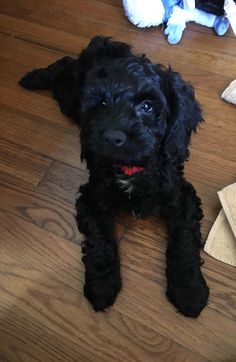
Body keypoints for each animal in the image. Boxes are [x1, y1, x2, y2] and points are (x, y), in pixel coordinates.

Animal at [19, 36, 208, 316]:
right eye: (102, 104)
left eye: (147, 106)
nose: (112, 138)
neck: (131, 167)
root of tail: (102, 43)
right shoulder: (91, 198)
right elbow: (100, 242)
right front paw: (102, 286)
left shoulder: (182, 197)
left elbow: (184, 242)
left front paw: (189, 290)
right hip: (70, 96)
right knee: (63, 67)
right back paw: (34, 77)